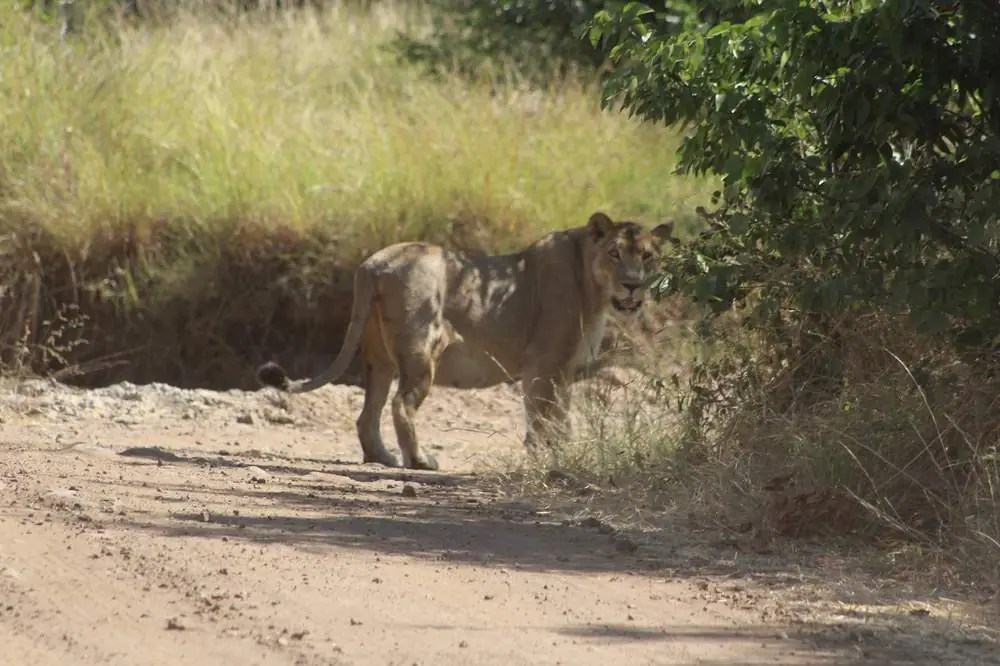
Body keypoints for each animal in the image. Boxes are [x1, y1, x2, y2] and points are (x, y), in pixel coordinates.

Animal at [255, 211, 674, 470]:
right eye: (614, 253)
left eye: (648, 256)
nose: (633, 285)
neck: (593, 287)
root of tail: (375, 263)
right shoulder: (545, 362)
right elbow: (547, 417)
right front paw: (551, 459)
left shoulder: (559, 369)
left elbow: (555, 415)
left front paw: (556, 454)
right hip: (424, 348)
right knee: (400, 405)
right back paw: (420, 461)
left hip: (379, 356)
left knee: (368, 412)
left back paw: (383, 458)